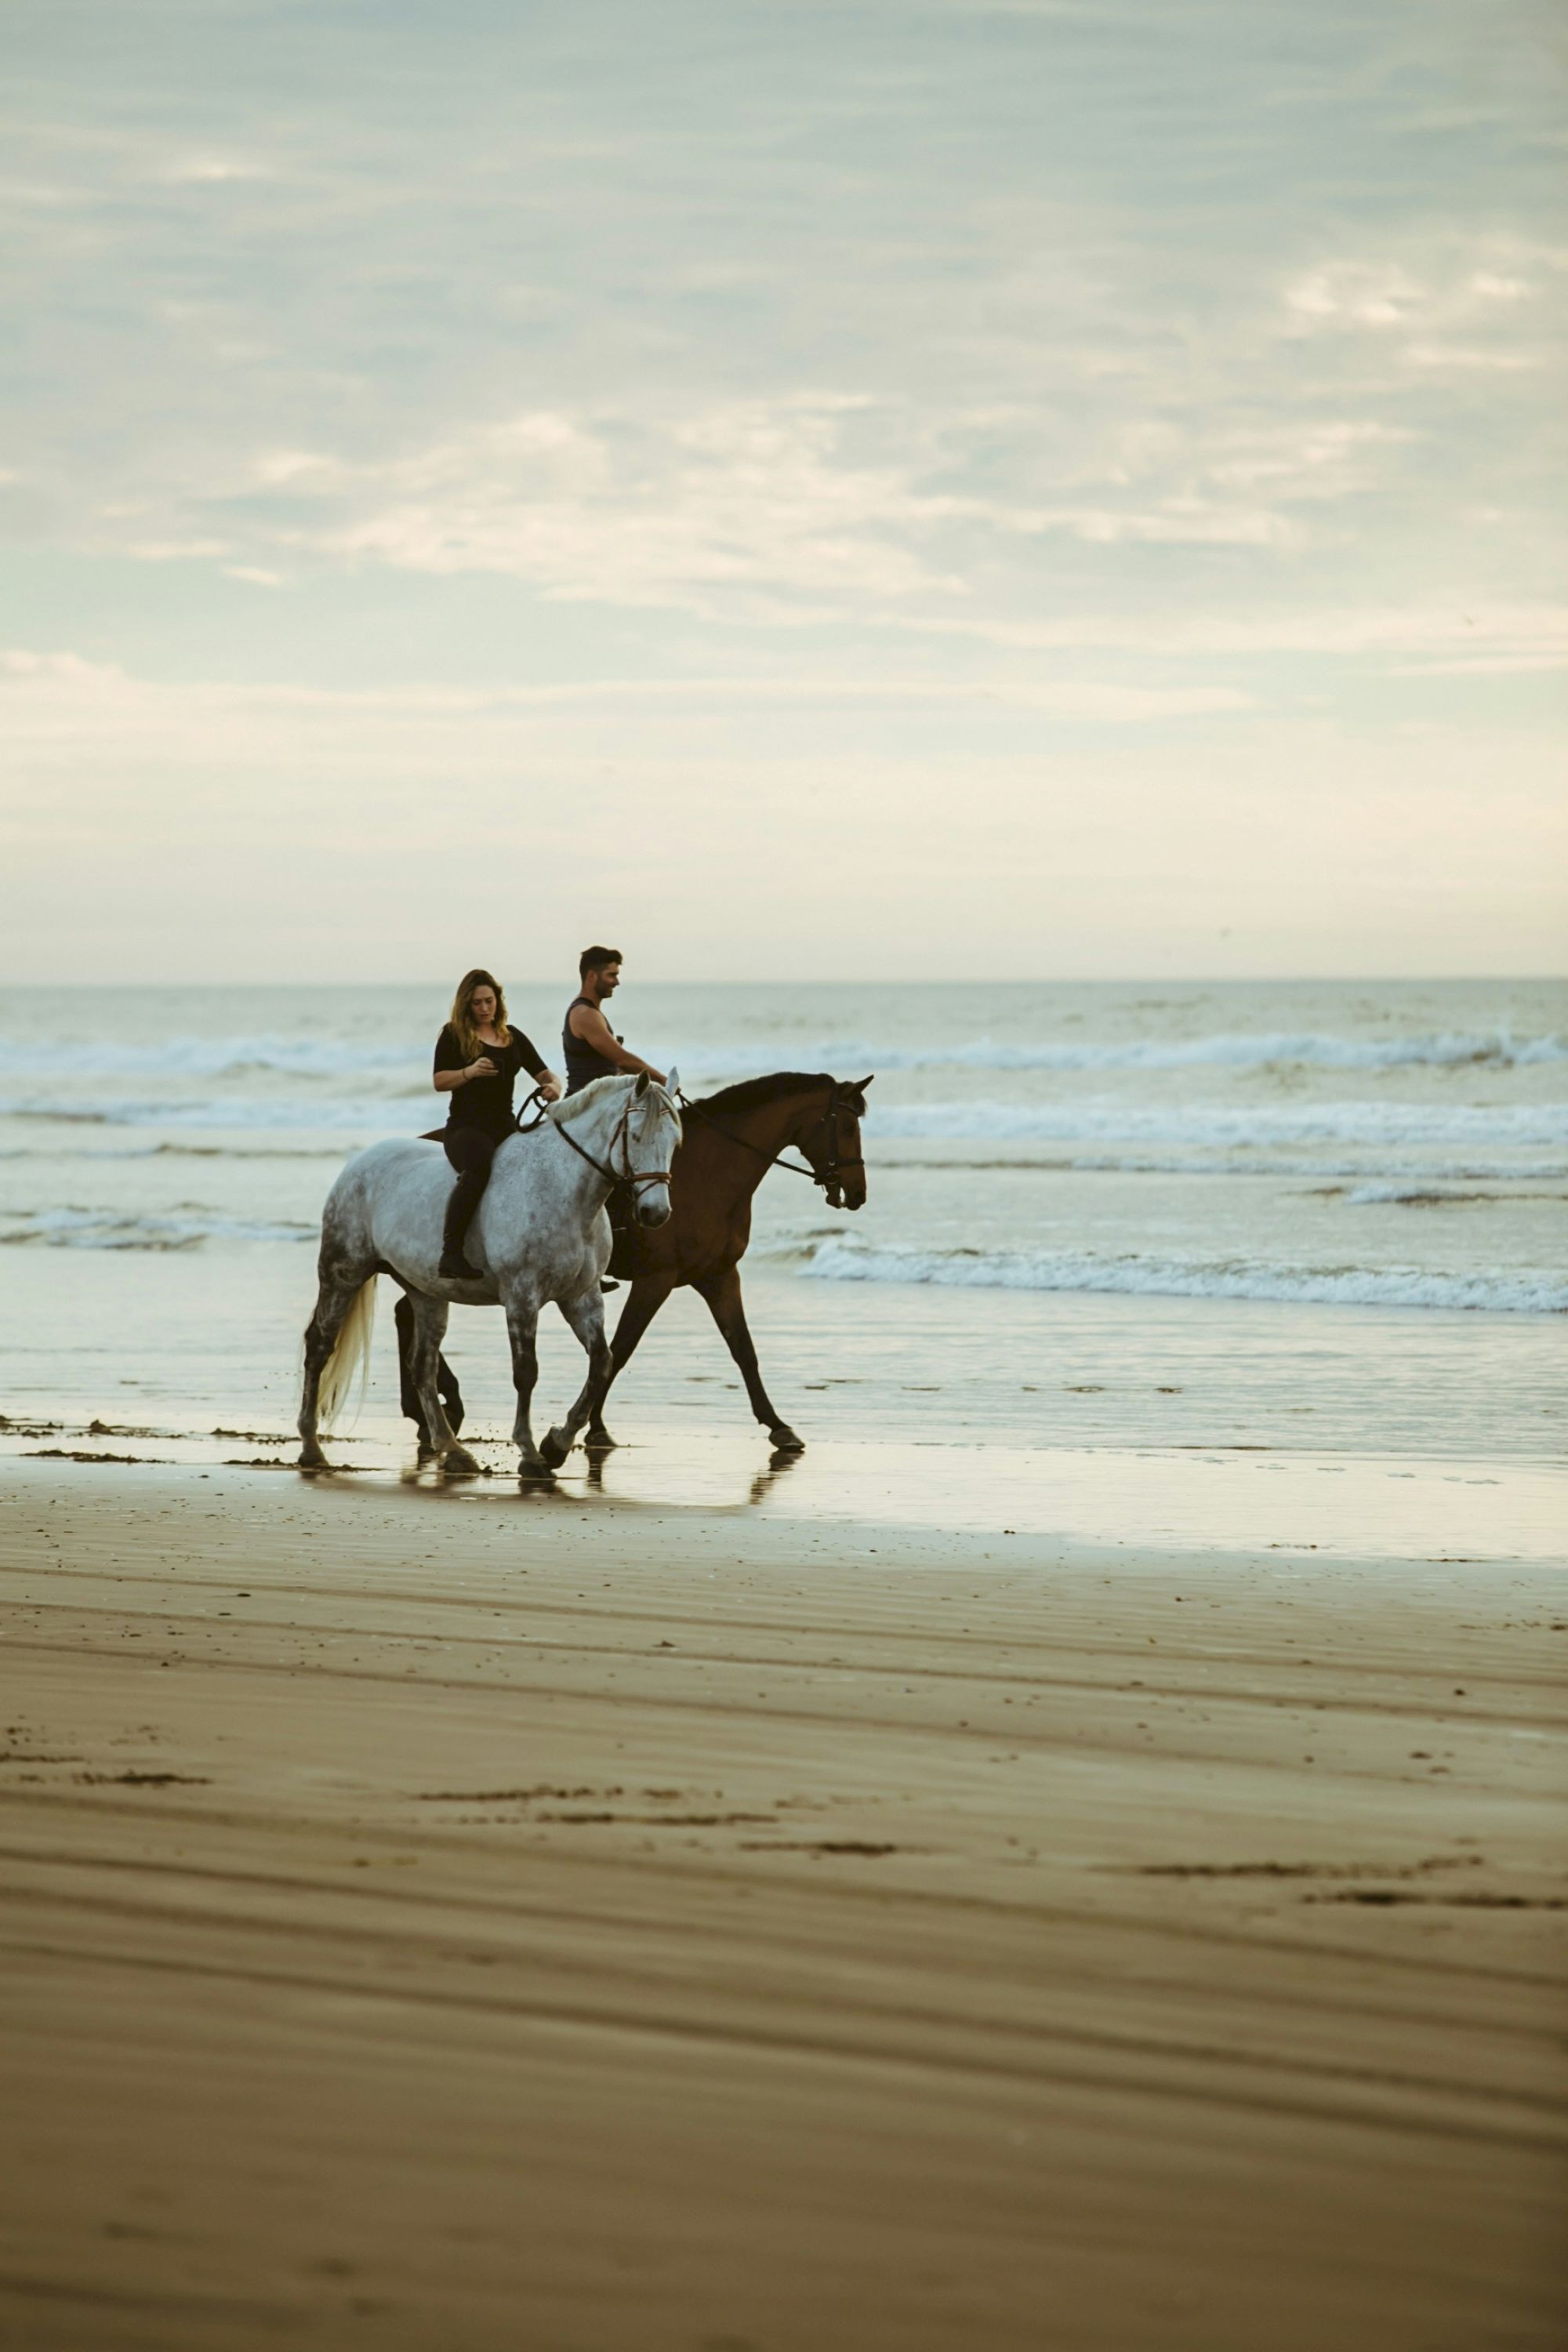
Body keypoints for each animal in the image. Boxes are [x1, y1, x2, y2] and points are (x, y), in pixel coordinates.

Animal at [300, 1077, 681, 1477]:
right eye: (635, 1136)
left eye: (675, 1141)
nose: (655, 1213)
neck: (562, 1189)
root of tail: (358, 1163)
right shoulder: (521, 1295)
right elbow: (526, 1371)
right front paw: (531, 1453)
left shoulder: (582, 1297)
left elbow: (601, 1363)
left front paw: (557, 1444)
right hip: (343, 1272)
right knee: (320, 1346)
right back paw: (311, 1448)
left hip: (426, 1292)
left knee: (422, 1365)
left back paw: (453, 1450)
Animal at [392, 1077, 869, 1458]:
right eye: (847, 1127)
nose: (858, 1192)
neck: (711, 1171)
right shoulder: (657, 1281)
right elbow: (620, 1350)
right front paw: (590, 1428)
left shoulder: (718, 1276)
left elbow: (743, 1350)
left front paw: (779, 1426)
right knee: (406, 1317)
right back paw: (437, 1410)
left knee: (405, 1314)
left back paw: (431, 1411)